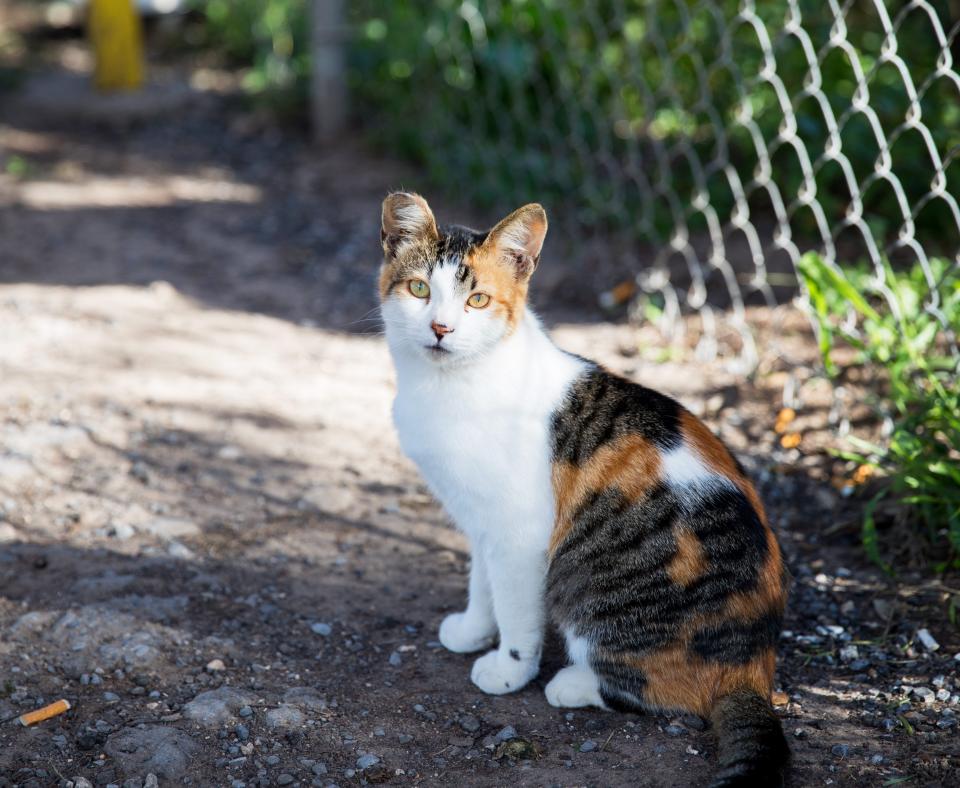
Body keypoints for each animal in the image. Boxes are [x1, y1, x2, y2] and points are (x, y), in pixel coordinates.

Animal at [378, 192, 792, 788]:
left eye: (477, 300)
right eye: (418, 289)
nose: (440, 328)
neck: (448, 386)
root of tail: (754, 668)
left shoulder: (520, 533)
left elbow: (516, 608)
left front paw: (509, 667)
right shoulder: (482, 521)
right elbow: (482, 583)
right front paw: (475, 629)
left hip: (590, 591)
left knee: (665, 691)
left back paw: (572, 683)